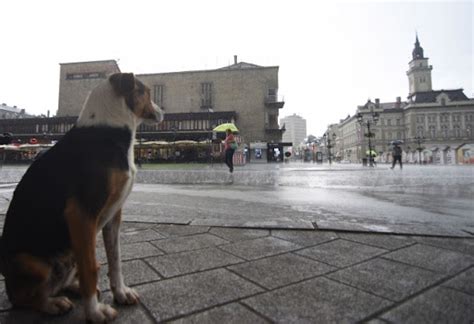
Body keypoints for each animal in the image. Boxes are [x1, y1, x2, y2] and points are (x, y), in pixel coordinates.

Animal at [0, 71, 164, 322]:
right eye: (146, 91)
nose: (162, 111)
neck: (109, 129)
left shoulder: (114, 214)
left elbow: (115, 260)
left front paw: (120, 293)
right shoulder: (82, 214)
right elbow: (91, 268)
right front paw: (95, 313)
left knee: (60, 282)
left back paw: (73, 289)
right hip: (33, 264)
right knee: (22, 298)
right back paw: (53, 304)